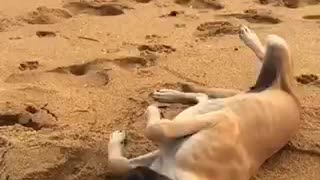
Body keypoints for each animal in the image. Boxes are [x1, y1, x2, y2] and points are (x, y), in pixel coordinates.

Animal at [107, 25, 300, 180]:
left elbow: (156, 129)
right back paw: (172, 95)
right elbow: (118, 164)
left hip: (277, 46)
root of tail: (292, 98)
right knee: (203, 97)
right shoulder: (161, 154)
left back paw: (250, 37)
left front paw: (152, 112)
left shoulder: (223, 120)